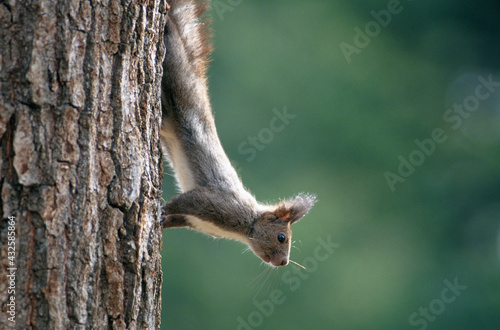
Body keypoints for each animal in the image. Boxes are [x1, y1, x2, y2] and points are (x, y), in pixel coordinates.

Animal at [161, 0, 316, 266]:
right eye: (282, 237)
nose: (283, 263)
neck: (247, 223)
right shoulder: (213, 203)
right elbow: (181, 202)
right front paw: (158, 211)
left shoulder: (194, 220)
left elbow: (175, 218)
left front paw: (161, 221)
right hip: (176, 76)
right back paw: (168, 25)